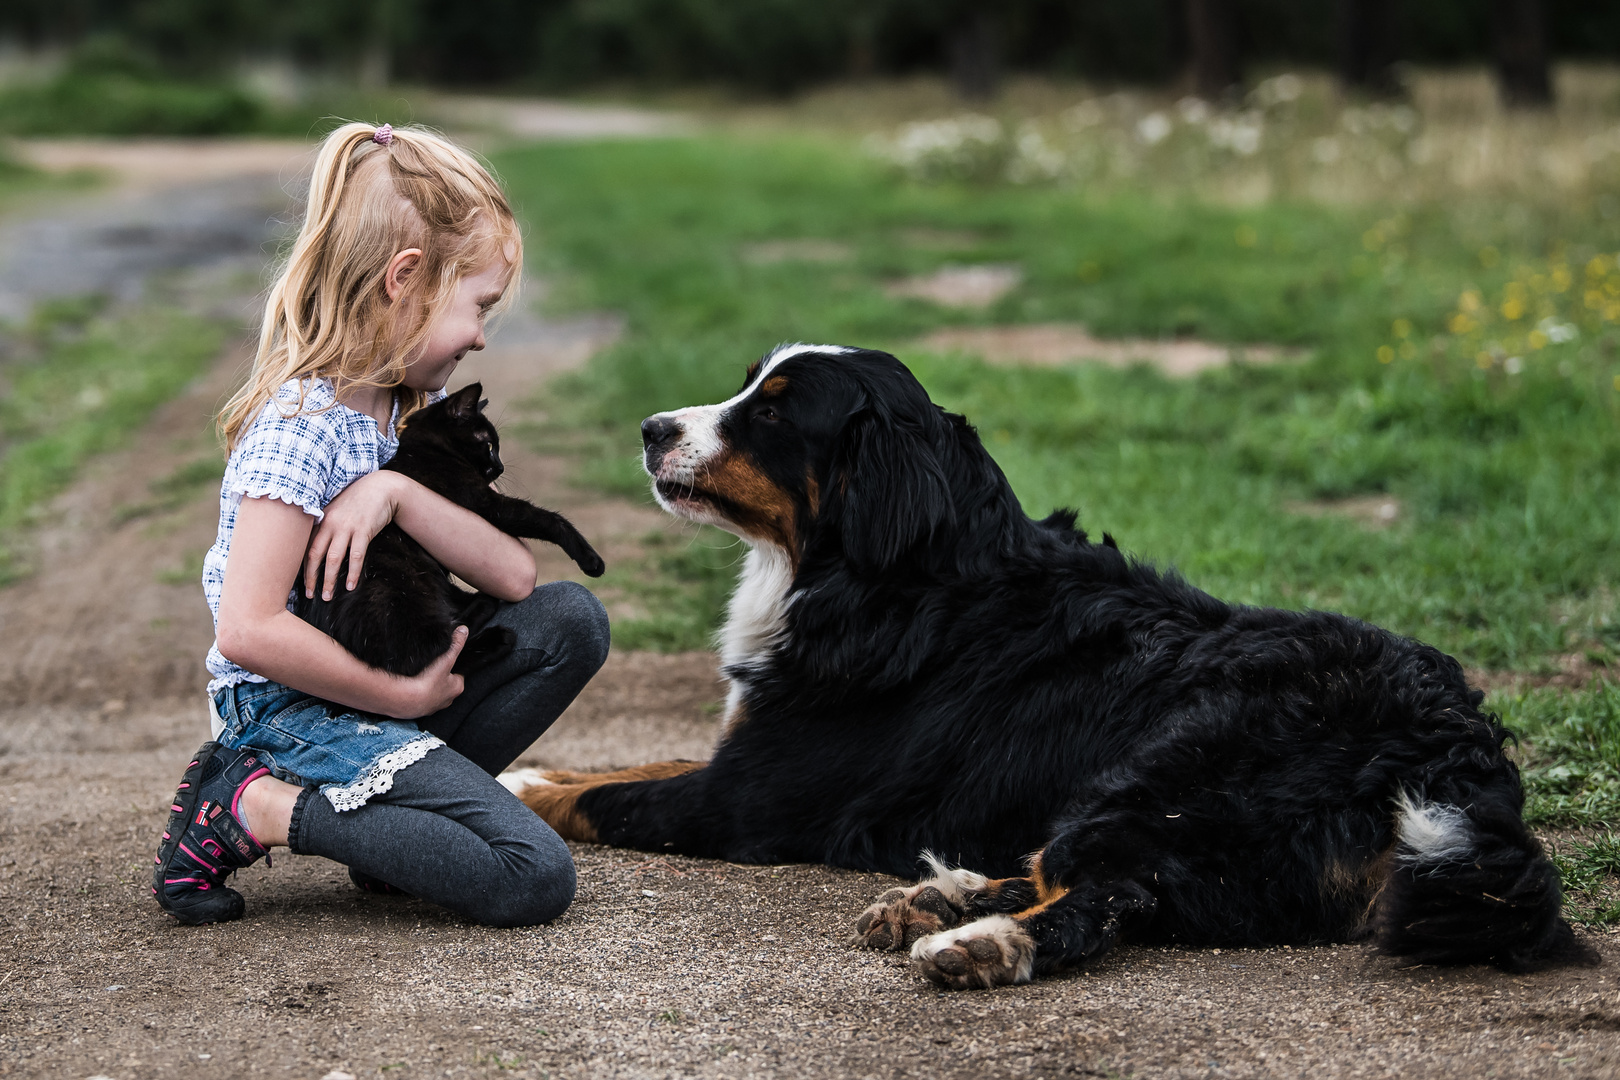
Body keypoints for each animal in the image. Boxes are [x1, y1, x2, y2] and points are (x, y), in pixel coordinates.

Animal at [294, 383, 605, 676]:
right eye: (489, 445)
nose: (500, 467)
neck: (427, 448)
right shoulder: (487, 504)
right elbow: (547, 519)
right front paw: (590, 560)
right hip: (404, 593)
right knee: (430, 660)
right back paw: (495, 635)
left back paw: (481, 602)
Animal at [498, 344, 1587, 990]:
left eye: (771, 412)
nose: (651, 430)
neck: (888, 578)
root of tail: (1454, 755)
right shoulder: (745, 750)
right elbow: (626, 764)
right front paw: (530, 766)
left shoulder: (749, 798)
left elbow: (608, 796)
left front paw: (525, 784)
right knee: (1086, 871)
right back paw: (939, 897)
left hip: (1176, 766)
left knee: (1109, 897)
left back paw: (975, 940)